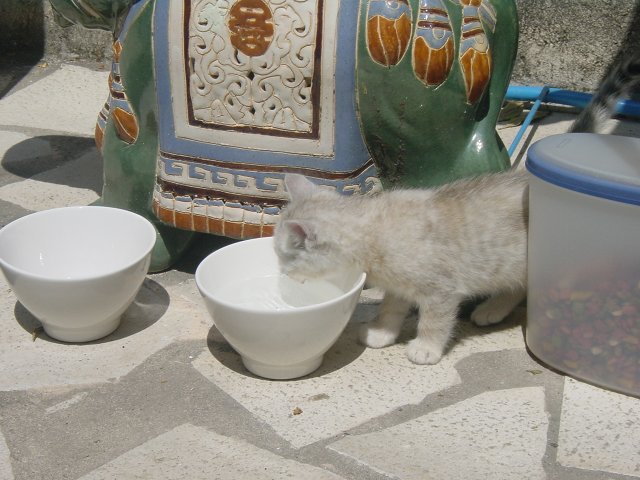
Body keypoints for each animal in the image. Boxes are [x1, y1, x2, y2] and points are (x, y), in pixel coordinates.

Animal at [272, 172, 528, 364]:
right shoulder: (398, 287)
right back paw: (492, 310)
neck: (375, 232)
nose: (282, 274)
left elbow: (434, 321)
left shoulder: (442, 289)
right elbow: (389, 310)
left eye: (284, 258)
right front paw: (381, 333)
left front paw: (427, 347)